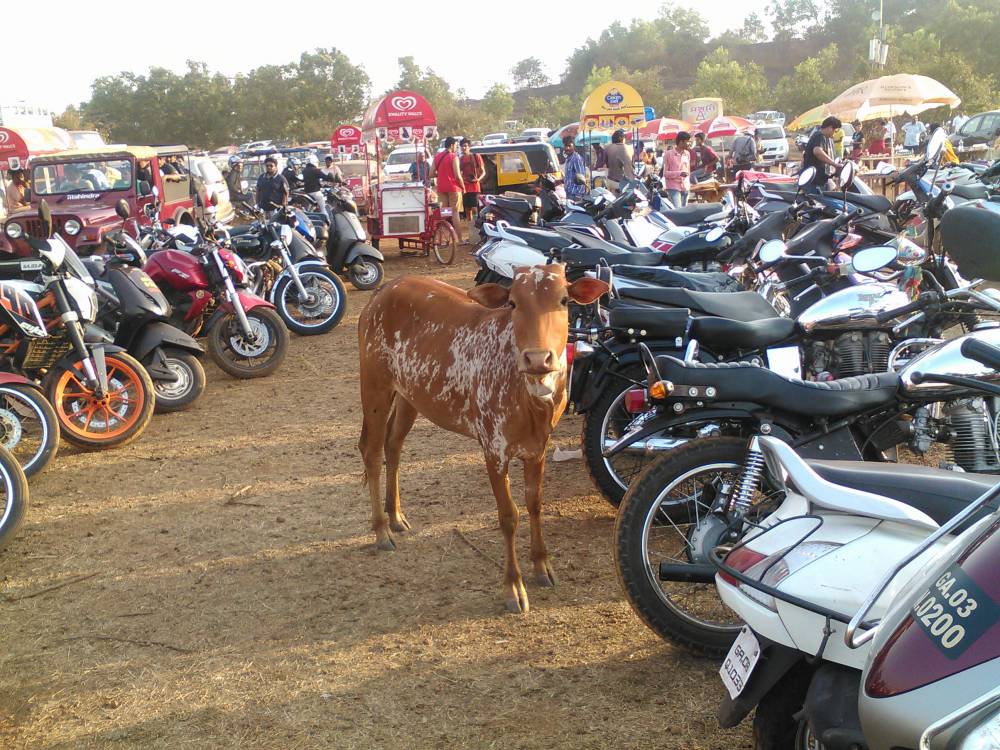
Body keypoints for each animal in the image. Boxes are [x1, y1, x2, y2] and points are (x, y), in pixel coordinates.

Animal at [357, 265, 608, 613]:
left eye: (564, 300)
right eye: (513, 302)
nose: (538, 359)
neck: (530, 402)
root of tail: (383, 290)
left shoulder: (539, 447)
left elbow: (535, 504)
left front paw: (542, 566)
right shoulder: (493, 447)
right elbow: (509, 516)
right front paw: (513, 587)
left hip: (410, 395)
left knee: (393, 445)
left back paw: (396, 517)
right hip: (375, 385)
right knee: (371, 449)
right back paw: (381, 530)